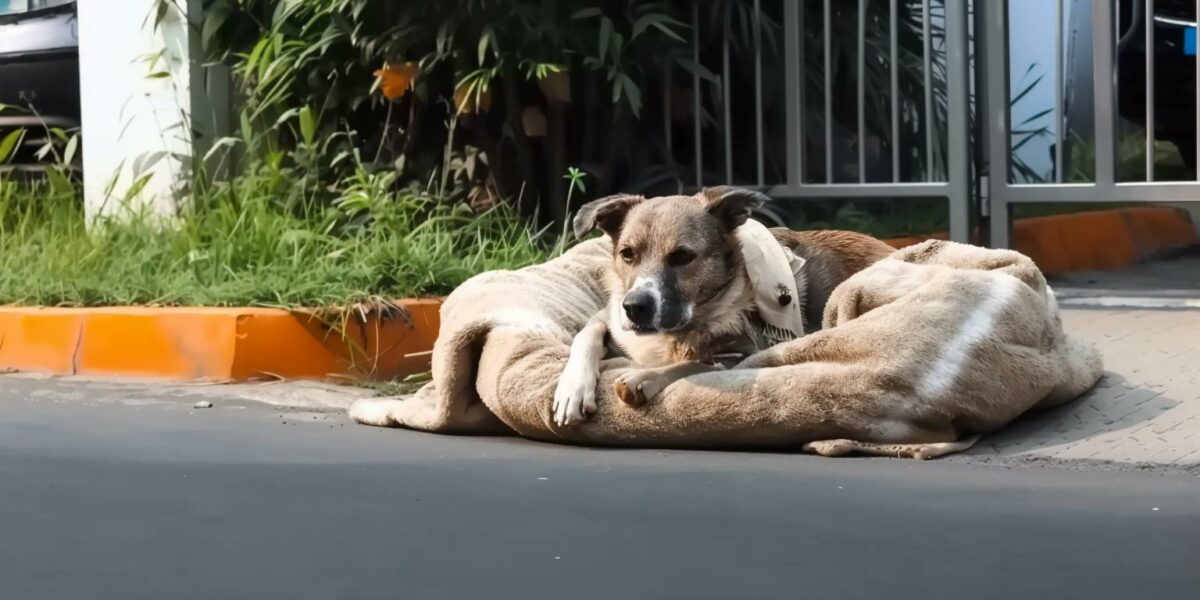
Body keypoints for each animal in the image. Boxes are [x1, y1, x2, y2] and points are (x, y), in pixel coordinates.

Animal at [549, 187, 897, 427]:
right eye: (627, 254)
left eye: (683, 257)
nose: (634, 307)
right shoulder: (610, 317)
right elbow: (586, 334)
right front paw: (572, 389)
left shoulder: (745, 353)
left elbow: (693, 364)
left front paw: (643, 378)